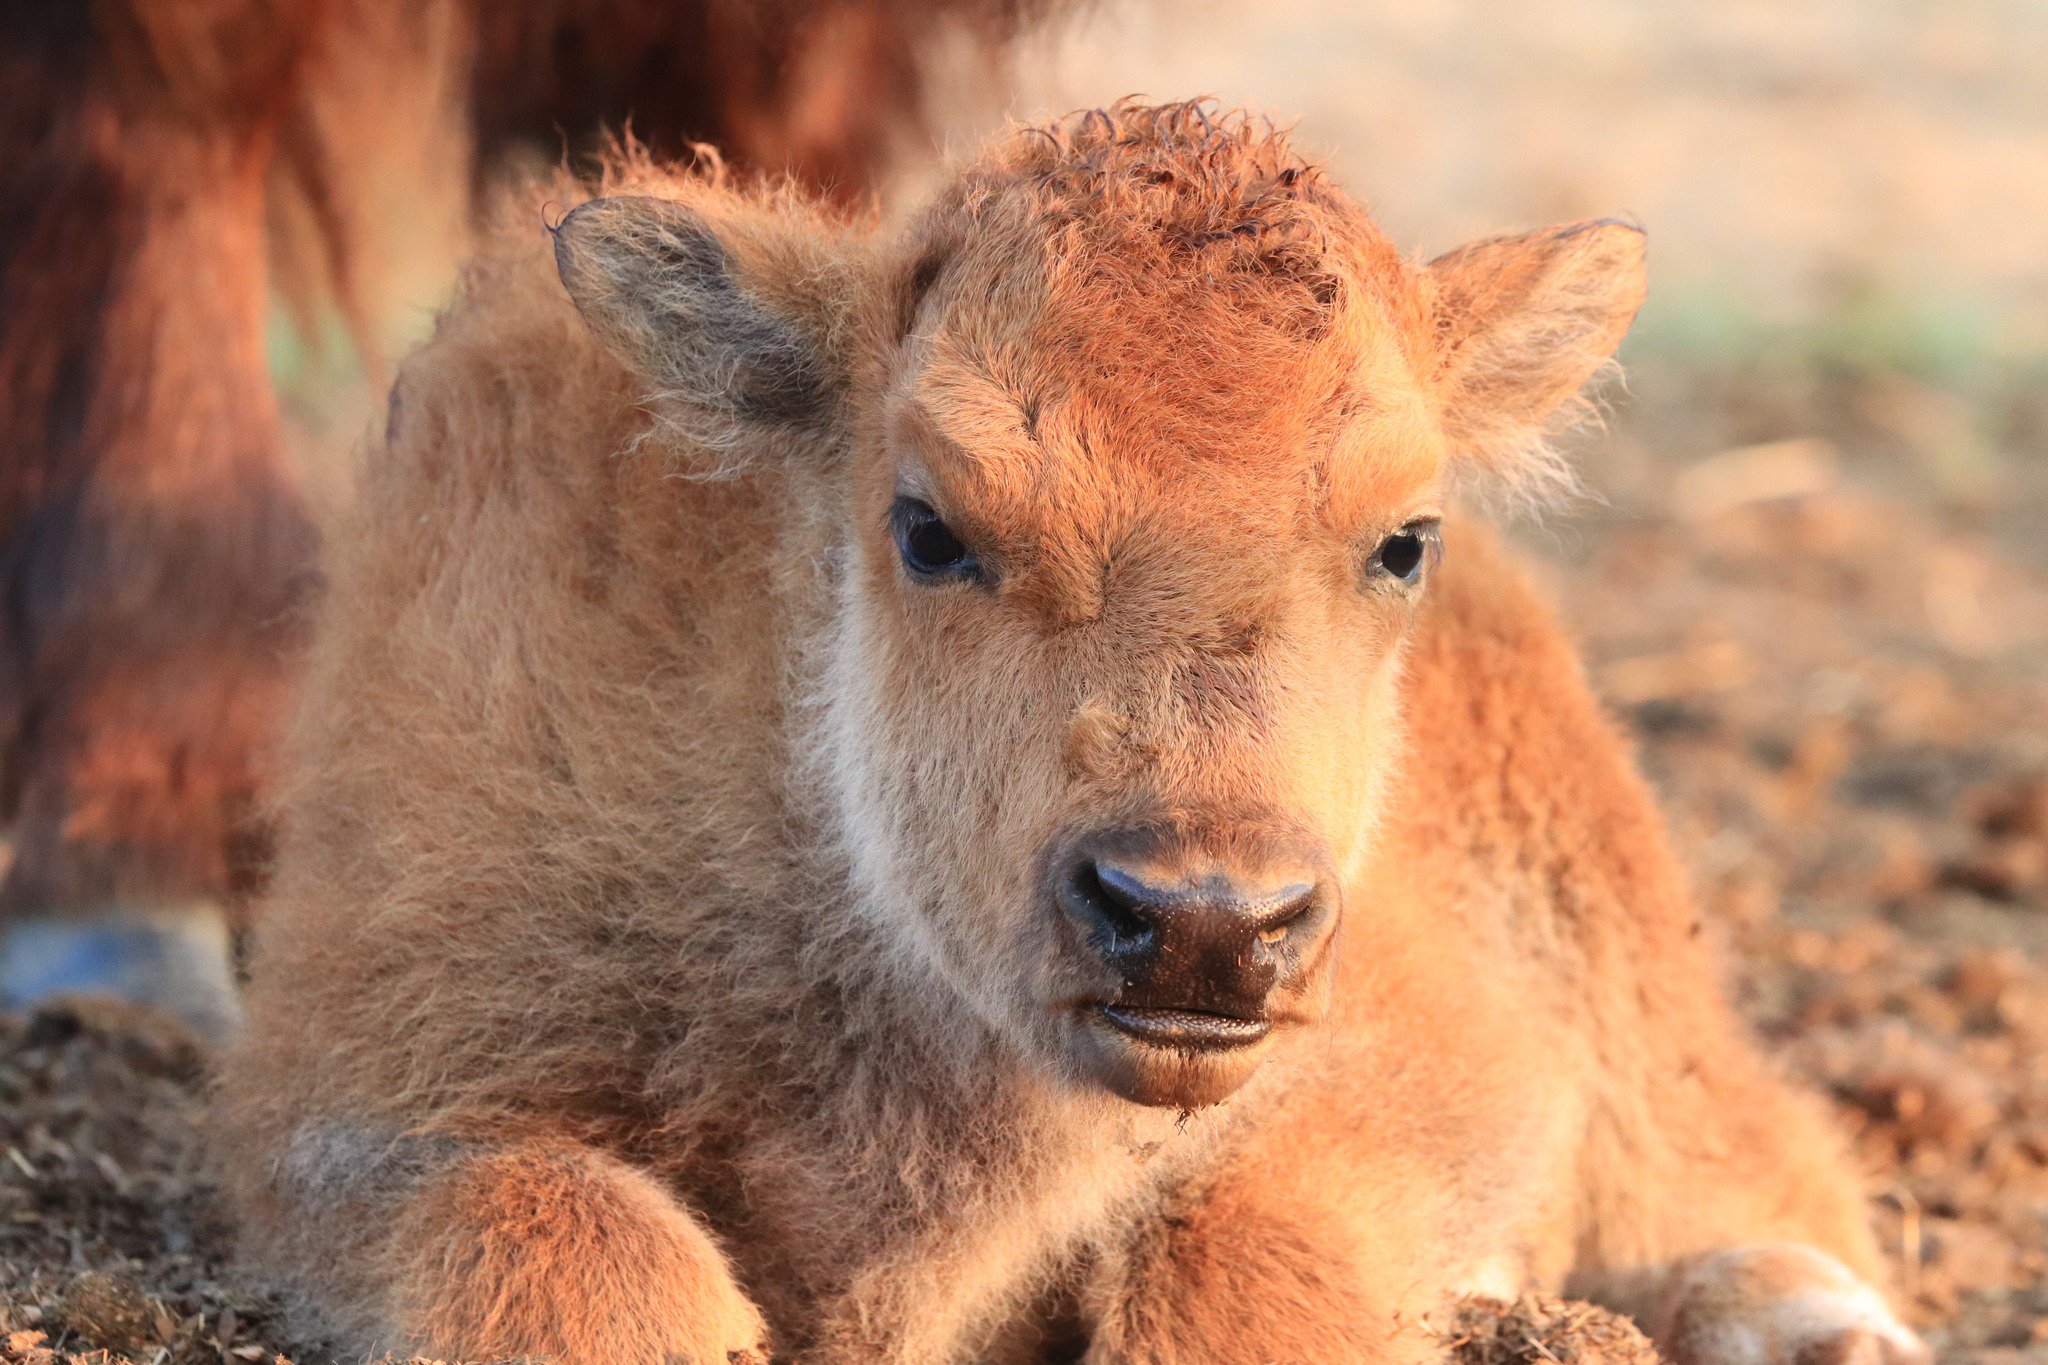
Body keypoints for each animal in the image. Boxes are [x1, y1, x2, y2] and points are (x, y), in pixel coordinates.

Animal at [217, 103, 1928, 1364]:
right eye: (928, 527)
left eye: (1403, 540)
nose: (1202, 923)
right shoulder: (362, 1094)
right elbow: (574, 1234)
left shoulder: (1432, 1055)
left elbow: (1241, 1247)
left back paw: (1816, 1326)